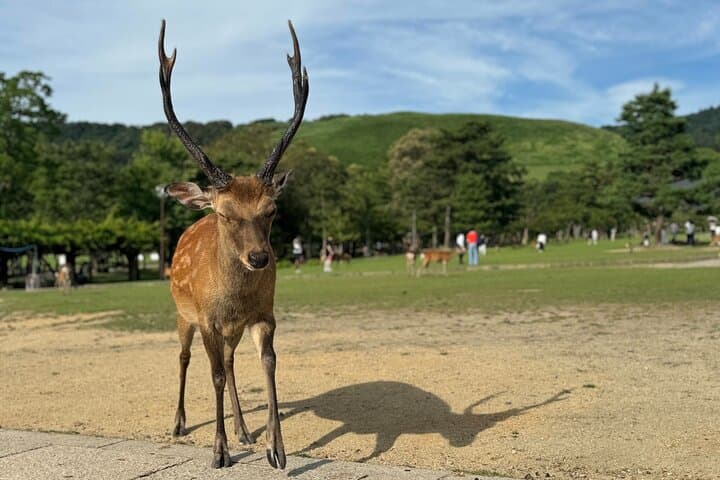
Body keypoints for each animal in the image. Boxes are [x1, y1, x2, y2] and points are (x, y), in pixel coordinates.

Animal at [157, 18, 308, 471]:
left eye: (272, 210)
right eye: (225, 213)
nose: (259, 258)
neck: (235, 298)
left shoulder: (263, 314)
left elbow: (268, 364)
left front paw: (276, 448)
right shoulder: (208, 318)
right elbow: (214, 376)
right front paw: (219, 451)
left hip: (232, 328)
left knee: (229, 358)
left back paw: (244, 429)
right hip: (182, 314)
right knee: (186, 359)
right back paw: (179, 423)